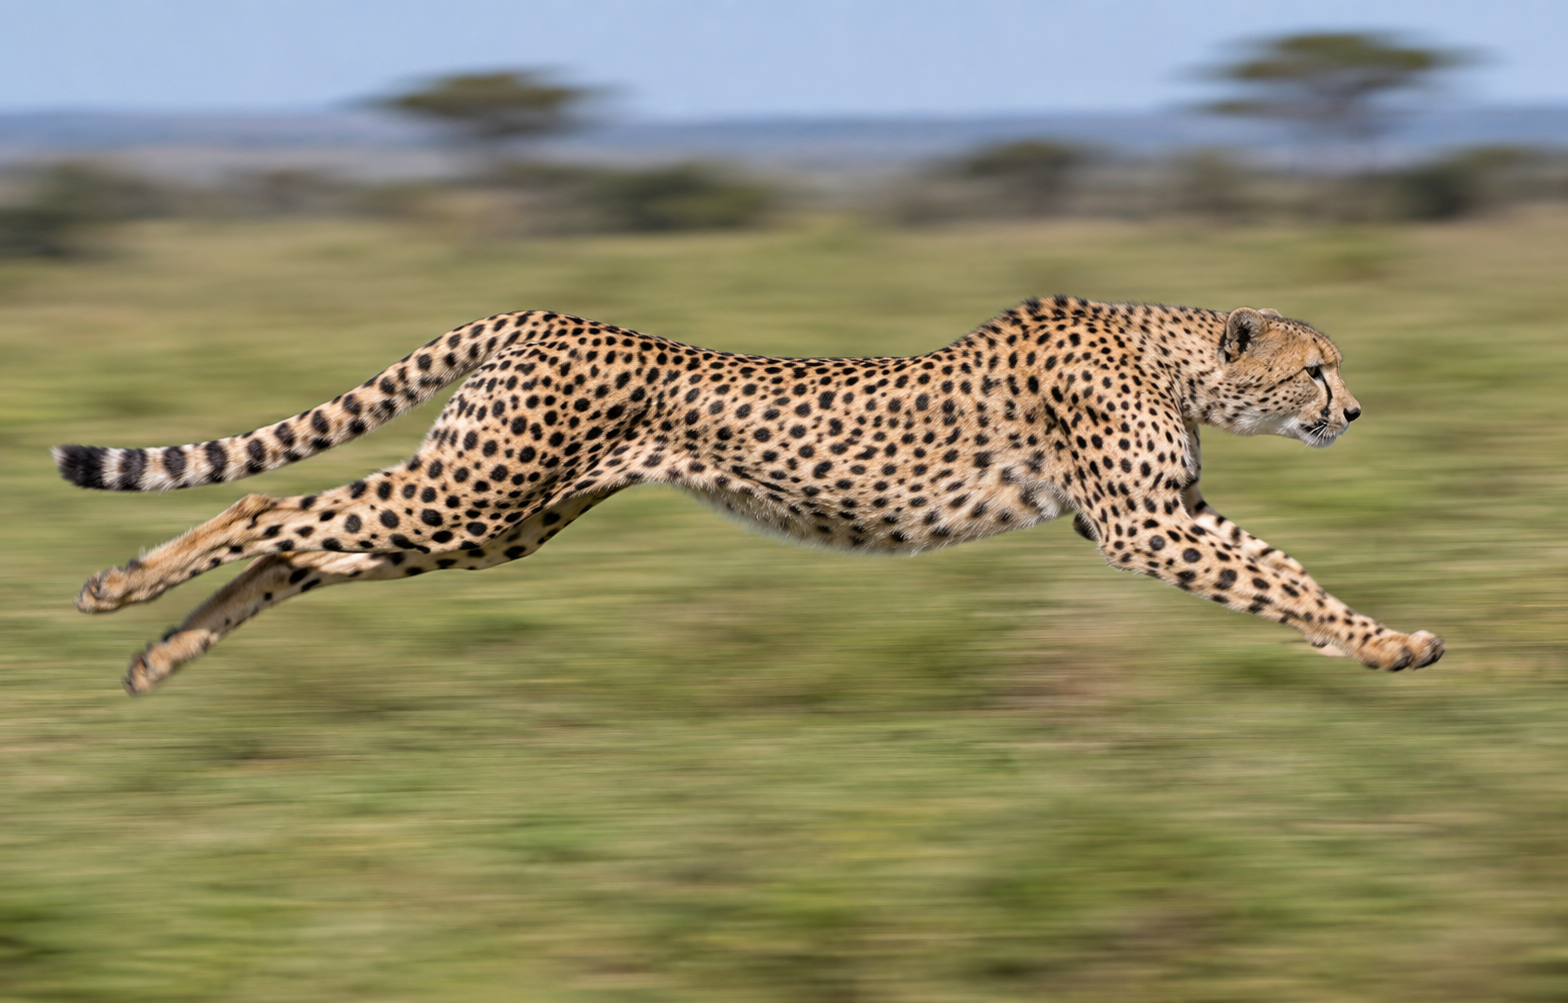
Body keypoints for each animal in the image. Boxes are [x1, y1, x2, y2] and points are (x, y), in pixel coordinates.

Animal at [53, 296, 1443, 695]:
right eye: (1315, 368)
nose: (1353, 413)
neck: (1173, 354)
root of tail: (543, 313)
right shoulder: (1143, 524)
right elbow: (1263, 575)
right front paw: (1380, 641)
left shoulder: (1176, 513)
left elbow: (1283, 572)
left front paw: (1378, 642)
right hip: (473, 496)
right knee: (268, 514)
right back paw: (120, 588)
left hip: (493, 518)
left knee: (302, 548)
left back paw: (160, 655)